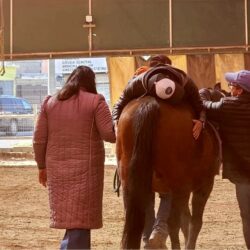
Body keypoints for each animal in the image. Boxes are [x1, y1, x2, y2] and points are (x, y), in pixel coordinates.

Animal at [116, 94, 220, 249]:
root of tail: (149, 103)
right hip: (180, 188)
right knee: (174, 223)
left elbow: (185, 221)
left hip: (130, 186)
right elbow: (194, 222)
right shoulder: (203, 186)